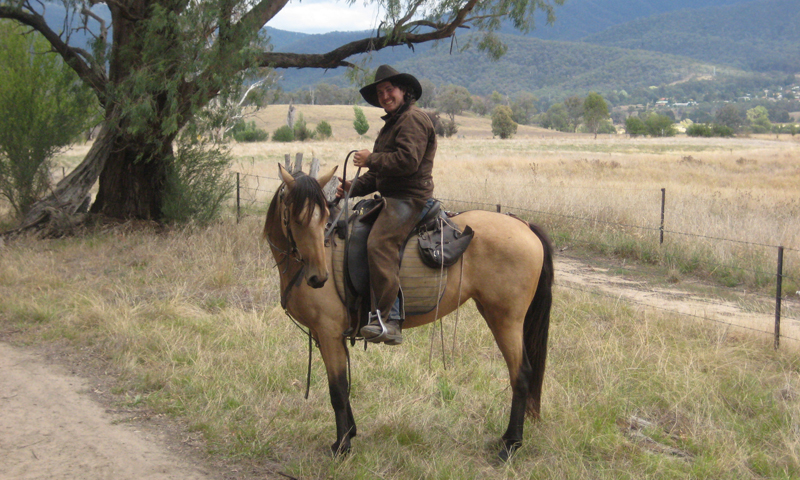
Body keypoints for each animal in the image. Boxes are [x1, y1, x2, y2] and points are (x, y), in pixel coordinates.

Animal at [260, 164, 552, 462]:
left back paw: (511, 444)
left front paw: (342, 447)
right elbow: (344, 386)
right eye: (296, 220)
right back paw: (506, 439)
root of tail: (524, 225)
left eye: (322, 221)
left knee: (521, 374)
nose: (319, 278)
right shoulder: (325, 335)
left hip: (505, 319)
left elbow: (338, 390)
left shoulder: (329, 333)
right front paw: (349, 434)